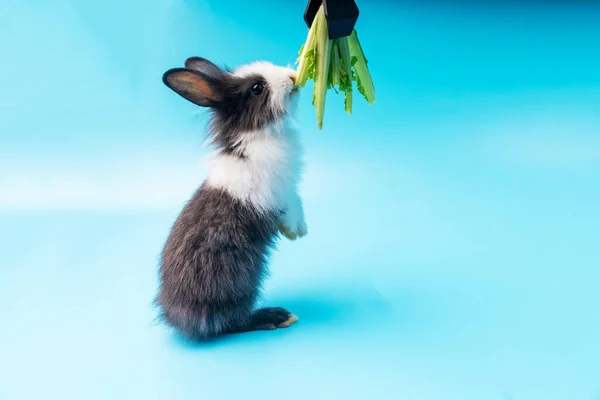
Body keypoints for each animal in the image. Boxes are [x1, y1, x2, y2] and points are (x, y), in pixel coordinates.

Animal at [155, 56, 308, 340]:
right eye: (257, 88)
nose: (293, 78)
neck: (259, 134)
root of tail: (178, 317)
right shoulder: (276, 192)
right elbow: (291, 204)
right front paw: (295, 230)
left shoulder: (289, 188)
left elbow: (298, 200)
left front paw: (301, 229)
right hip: (238, 281)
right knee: (232, 322)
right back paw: (276, 317)